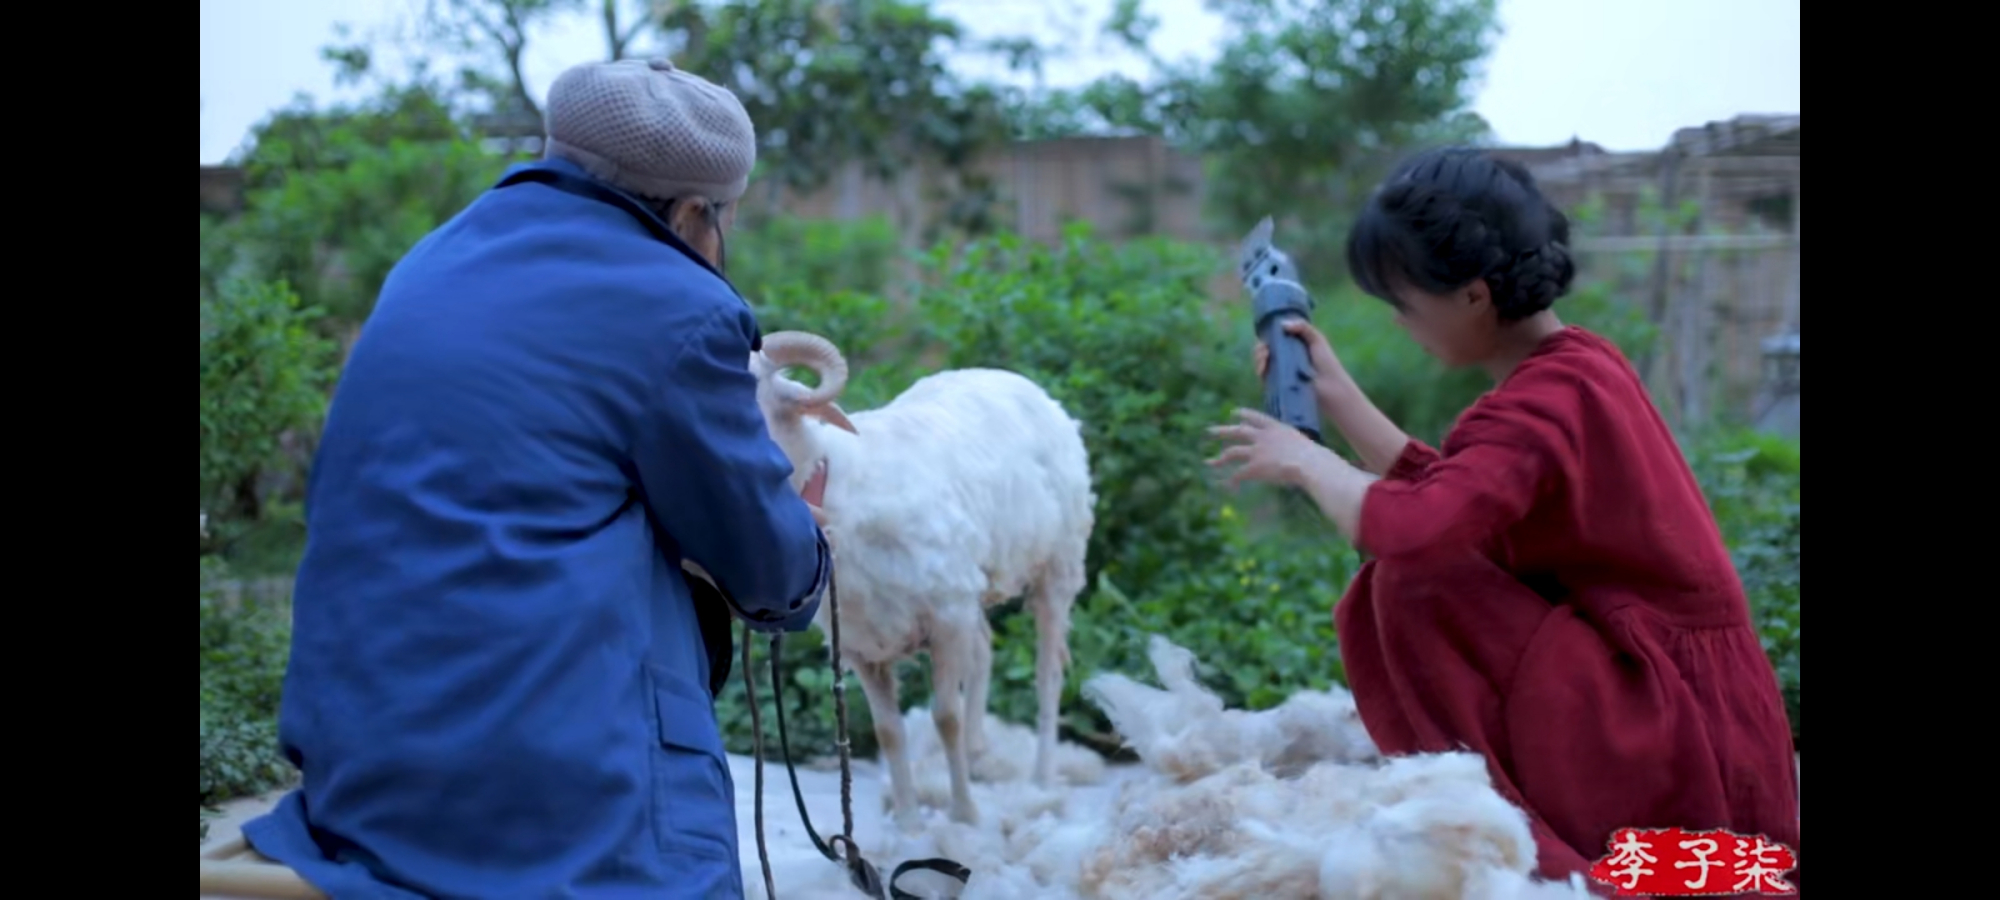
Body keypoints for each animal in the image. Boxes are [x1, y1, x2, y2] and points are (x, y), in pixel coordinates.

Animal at [748, 328, 1096, 828]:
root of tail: (1017, 381)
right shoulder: (861, 645)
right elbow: (888, 731)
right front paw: (910, 824)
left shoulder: (945, 620)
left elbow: (945, 717)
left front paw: (964, 814)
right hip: (973, 584)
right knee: (984, 648)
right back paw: (977, 753)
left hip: (1058, 565)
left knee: (1047, 674)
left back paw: (1042, 778)